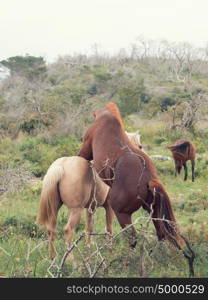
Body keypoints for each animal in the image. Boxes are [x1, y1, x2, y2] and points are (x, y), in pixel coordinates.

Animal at [78, 102, 195, 276]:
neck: (105, 119)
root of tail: (149, 180)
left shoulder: (85, 152)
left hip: (122, 214)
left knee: (133, 239)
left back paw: (125, 265)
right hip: (154, 213)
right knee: (162, 234)